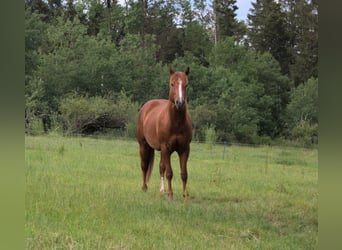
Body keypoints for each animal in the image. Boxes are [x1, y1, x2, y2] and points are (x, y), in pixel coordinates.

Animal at [136, 67, 192, 201]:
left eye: (186, 85)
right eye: (172, 84)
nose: (180, 103)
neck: (176, 123)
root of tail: (146, 107)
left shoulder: (184, 149)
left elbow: (184, 173)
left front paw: (185, 195)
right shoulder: (166, 147)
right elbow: (169, 173)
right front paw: (170, 195)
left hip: (162, 151)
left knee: (161, 167)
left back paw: (162, 190)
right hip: (144, 145)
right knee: (144, 166)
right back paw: (144, 187)